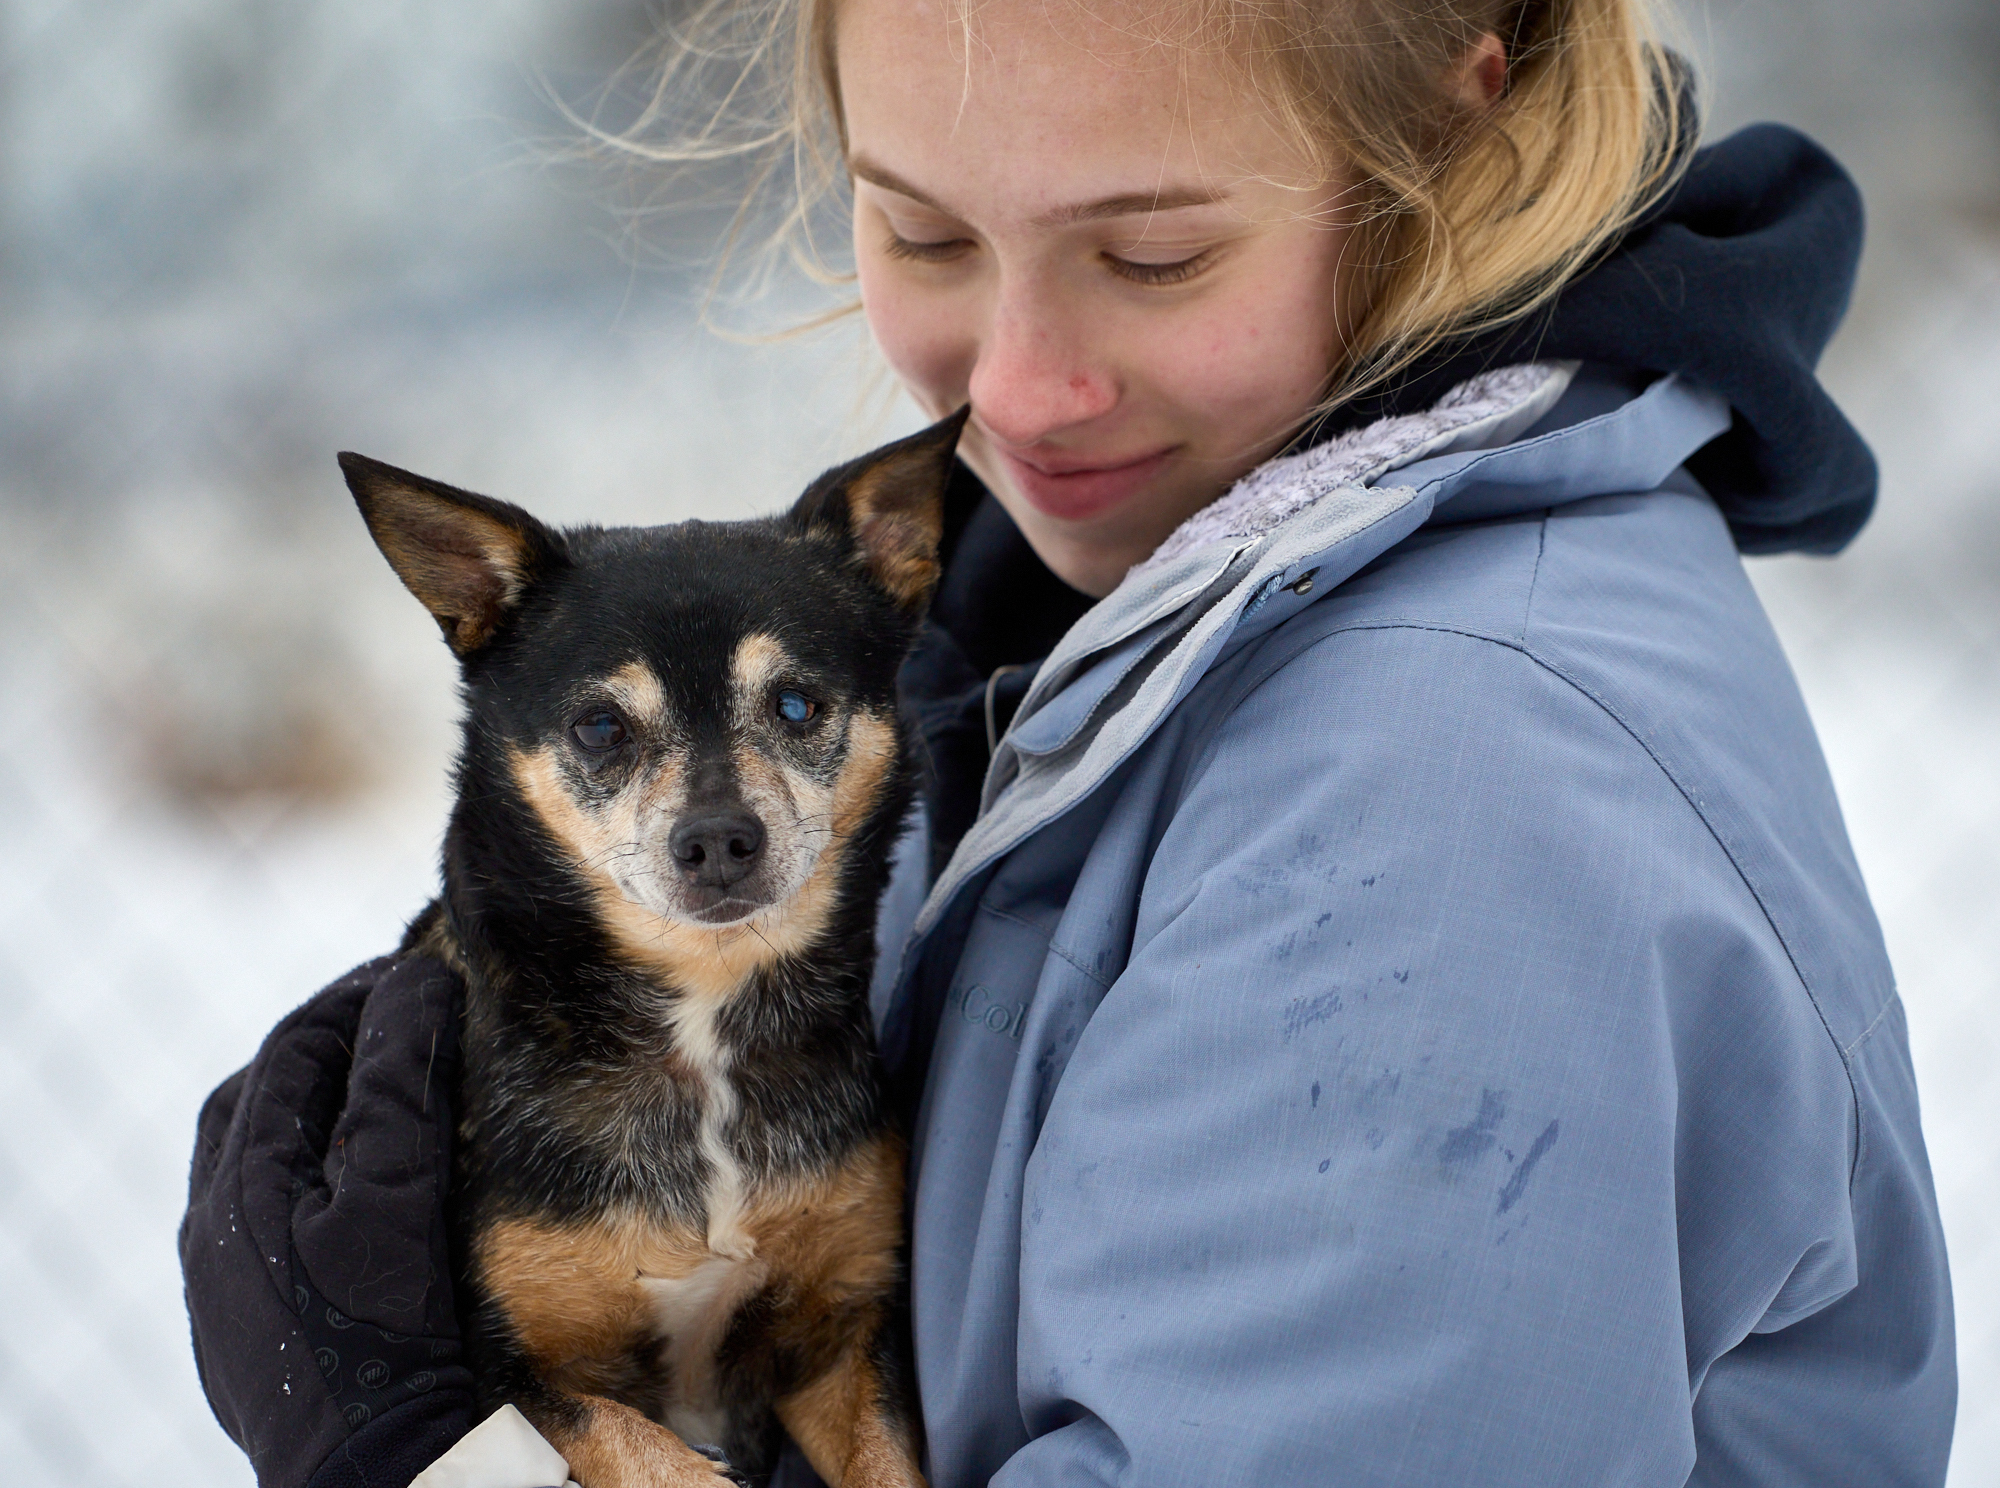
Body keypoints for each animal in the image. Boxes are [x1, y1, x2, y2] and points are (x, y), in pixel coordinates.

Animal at [340, 410, 964, 1488]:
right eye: (600, 725)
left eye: (796, 704)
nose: (717, 840)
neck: (701, 1020)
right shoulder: (517, 1371)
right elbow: (649, 1454)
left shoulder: (840, 1337)